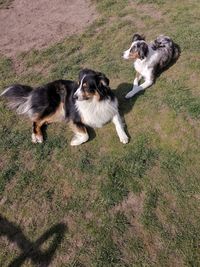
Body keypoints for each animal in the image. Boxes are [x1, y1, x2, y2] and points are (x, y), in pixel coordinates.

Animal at [0, 68, 128, 146]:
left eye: (85, 86)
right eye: (78, 84)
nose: (74, 97)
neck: (94, 102)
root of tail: (36, 89)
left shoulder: (111, 108)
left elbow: (118, 123)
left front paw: (123, 137)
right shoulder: (74, 118)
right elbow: (85, 135)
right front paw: (74, 142)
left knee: (39, 120)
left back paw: (36, 135)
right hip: (53, 106)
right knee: (36, 120)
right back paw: (38, 137)